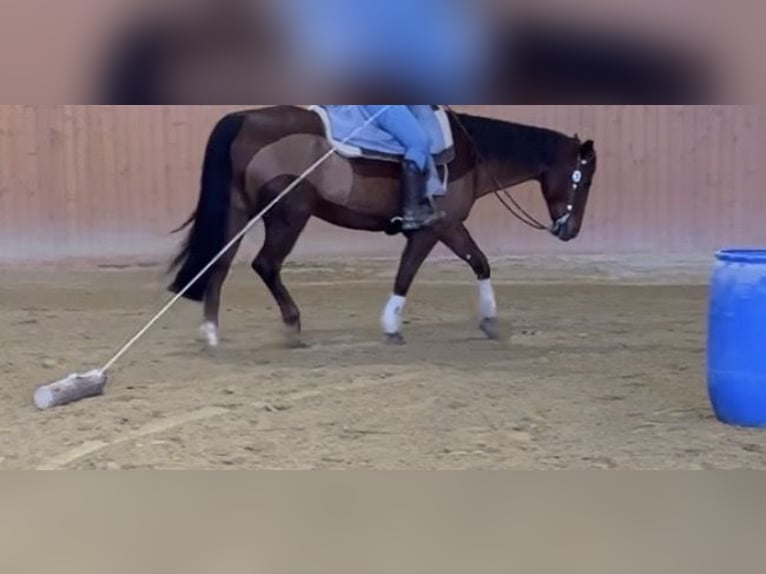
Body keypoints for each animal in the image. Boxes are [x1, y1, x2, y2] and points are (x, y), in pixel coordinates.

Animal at [168, 105, 597, 347]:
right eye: (583, 178)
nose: (570, 229)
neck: (472, 154)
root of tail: (243, 118)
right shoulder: (433, 228)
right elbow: (407, 274)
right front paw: (391, 327)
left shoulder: (450, 226)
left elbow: (479, 262)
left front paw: (490, 321)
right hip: (289, 213)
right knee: (266, 265)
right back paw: (291, 326)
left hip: (239, 212)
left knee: (220, 264)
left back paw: (211, 332)